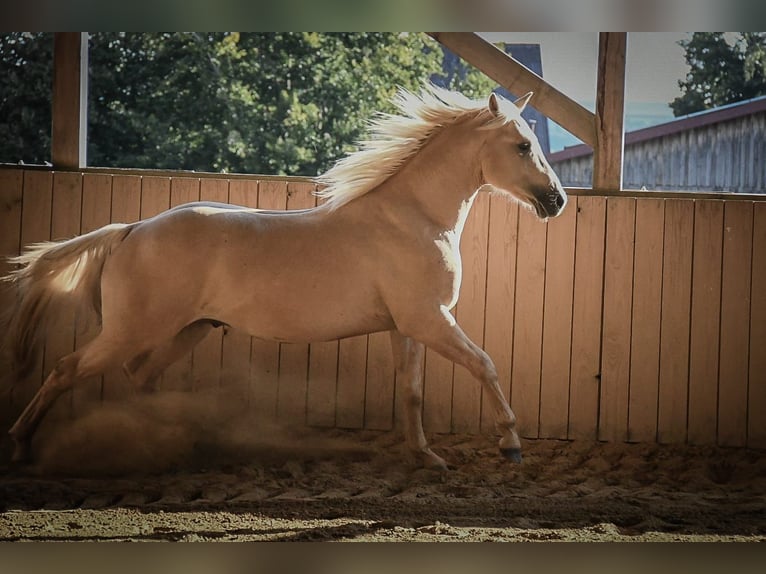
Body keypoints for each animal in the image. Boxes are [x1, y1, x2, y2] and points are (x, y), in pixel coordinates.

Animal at [0, 86, 564, 472]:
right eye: (521, 145)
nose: (556, 200)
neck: (415, 218)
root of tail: (130, 230)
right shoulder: (429, 320)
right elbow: (485, 365)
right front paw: (511, 444)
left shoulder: (408, 327)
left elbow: (413, 392)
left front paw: (427, 457)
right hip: (132, 331)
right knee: (65, 371)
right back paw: (23, 445)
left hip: (187, 329)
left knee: (140, 377)